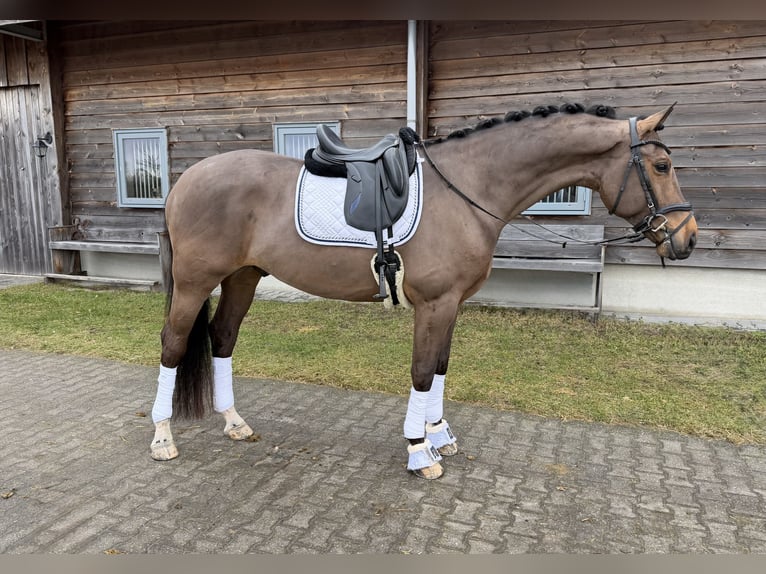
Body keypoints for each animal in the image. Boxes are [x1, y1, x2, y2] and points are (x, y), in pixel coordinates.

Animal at [149, 102, 697, 480]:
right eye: (662, 167)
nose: (688, 238)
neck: (469, 189)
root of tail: (184, 182)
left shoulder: (452, 304)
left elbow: (439, 368)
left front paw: (440, 436)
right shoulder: (433, 304)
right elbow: (419, 372)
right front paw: (418, 451)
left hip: (243, 276)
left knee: (222, 338)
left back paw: (234, 422)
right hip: (195, 283)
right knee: (172, 346)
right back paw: (162, 438)